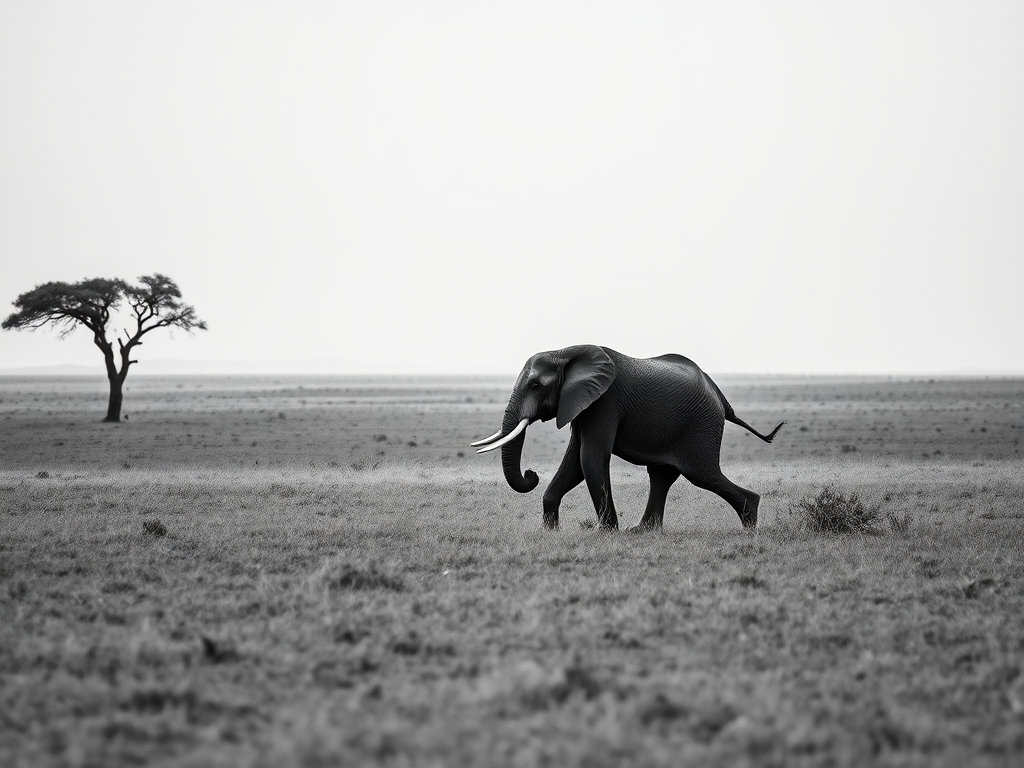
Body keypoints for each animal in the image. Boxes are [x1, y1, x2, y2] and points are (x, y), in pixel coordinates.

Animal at [471, 345, 784, 531]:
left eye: (536, 385)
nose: (531, 473)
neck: (566, 351)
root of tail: (718, 394)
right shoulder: (582, 404)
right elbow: (575, 462)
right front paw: (551, 532)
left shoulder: (604, 403)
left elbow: (589, 459)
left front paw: (605, 533)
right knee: (661, 475)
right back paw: (642, 531)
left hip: (700, 425)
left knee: (701, 474)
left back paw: (750, 524)